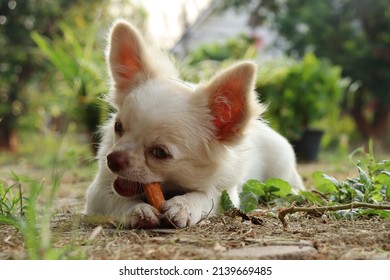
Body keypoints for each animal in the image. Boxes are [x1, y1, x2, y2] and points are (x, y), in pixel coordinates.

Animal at [84, 20, 304, 230]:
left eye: (160, 153)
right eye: (118, 127)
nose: (113, 159)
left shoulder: (226, 193)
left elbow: (205, 196)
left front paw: (184, 206)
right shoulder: (98, 192)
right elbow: (114, 198)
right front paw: (136, 210)